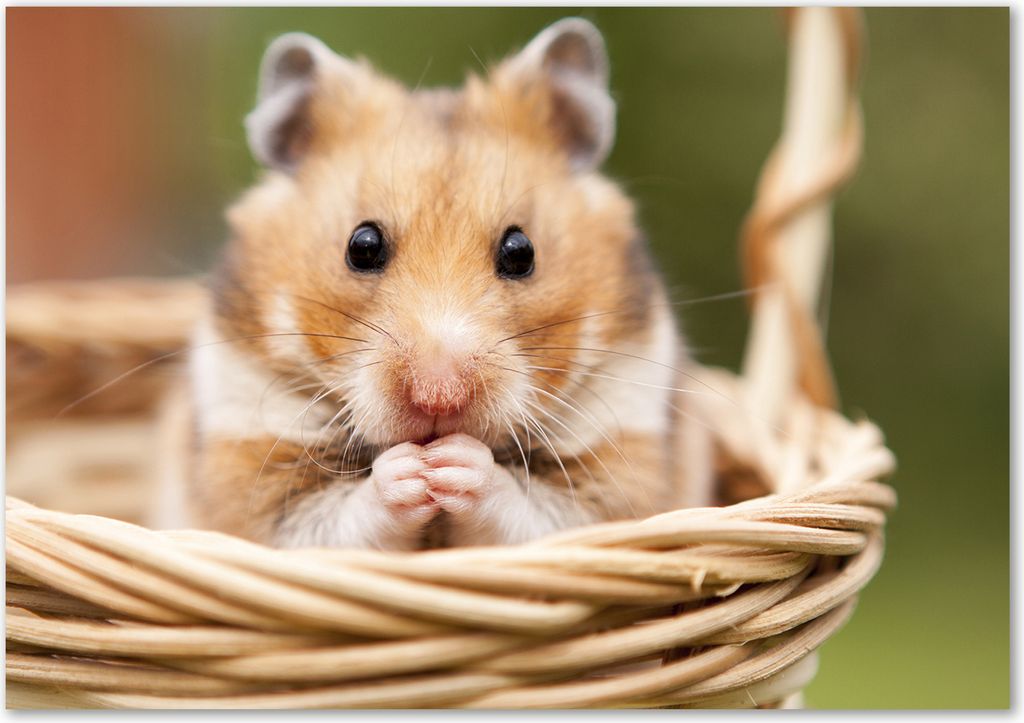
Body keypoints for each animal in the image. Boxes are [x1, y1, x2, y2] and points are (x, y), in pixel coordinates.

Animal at [174, 18, 713, 550]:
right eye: (361, 246)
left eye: (521, 252)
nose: (439, 398)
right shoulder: (249, 463)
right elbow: (332, 520)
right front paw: (412, 471)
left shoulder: (621, 468)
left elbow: (536, 512)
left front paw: (453, 464)